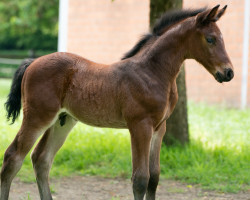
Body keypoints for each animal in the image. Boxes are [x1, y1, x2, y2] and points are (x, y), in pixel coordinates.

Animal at [0, 4, 233, 200]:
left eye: (222, 38)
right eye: (210, 39)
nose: (228, 73)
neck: (152, 72)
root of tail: (33, 62)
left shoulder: (160, 128)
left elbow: (155, 177)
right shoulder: (140, 126)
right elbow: (140, 179)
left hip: (62, 121)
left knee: (42, 159)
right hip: (38, 117)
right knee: (13, 157)